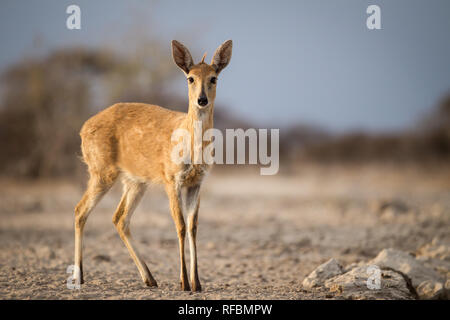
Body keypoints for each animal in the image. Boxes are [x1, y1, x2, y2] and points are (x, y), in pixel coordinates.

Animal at [73, 38, 232, 292]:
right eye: (190, 78)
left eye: (213, 78)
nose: (202, 100)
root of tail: (84, 127)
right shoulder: (172, 180)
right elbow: (179, 225)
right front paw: (184, 282)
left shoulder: (196, 183)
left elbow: (193, 227)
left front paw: (197, 283)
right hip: (102, 172)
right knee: (80, 210)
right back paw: (79, 277)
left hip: (135, 182)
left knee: (119, 218)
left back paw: (150, 278)